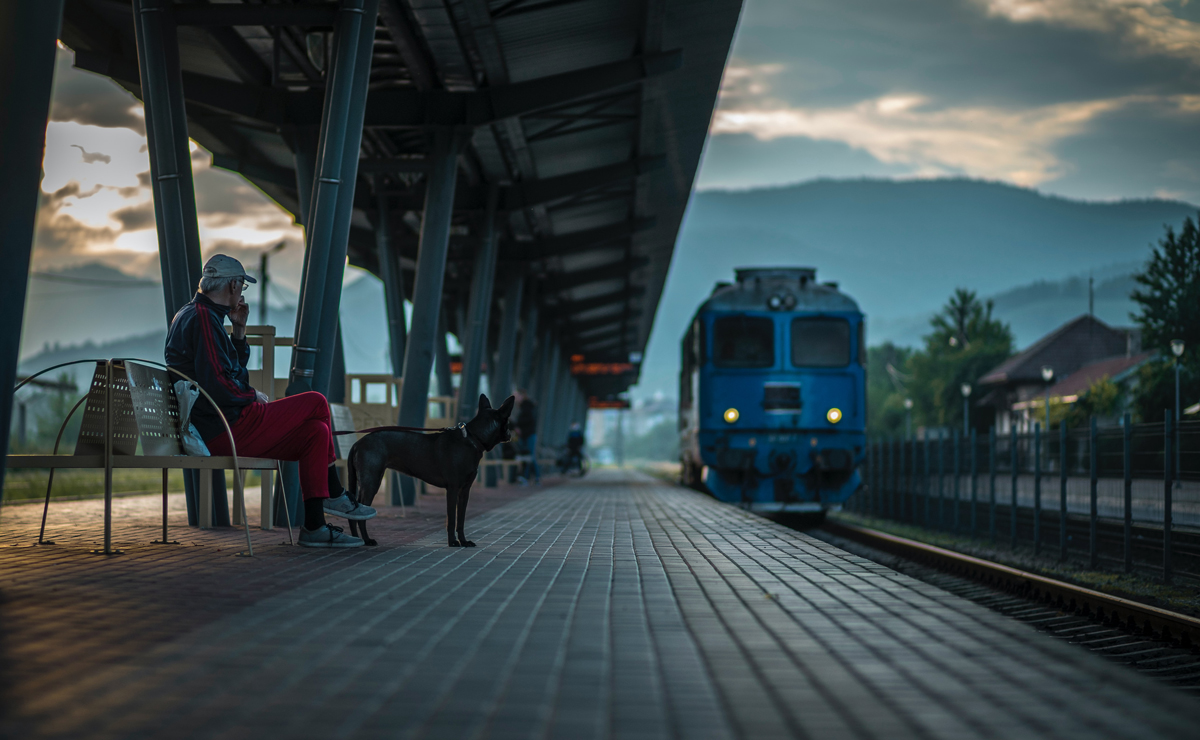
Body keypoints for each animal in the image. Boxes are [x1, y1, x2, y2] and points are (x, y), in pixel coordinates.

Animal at [348, 395, 516, 544]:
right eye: (508, 421)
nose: (510, 434)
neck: (472, 439)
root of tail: (357, 443)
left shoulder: (464, 491)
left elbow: (460, 520)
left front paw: (463, 541)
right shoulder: (453, 488)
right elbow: (452, 519)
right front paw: (453, 542)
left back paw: (357, 540)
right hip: (371, 482)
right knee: (360, 513)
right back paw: (367, 540)